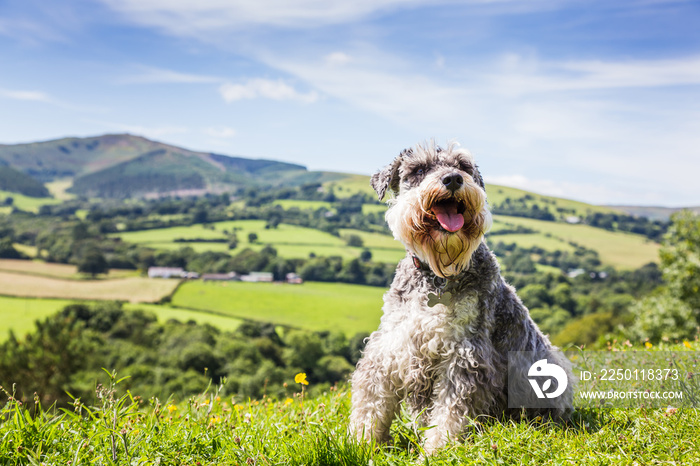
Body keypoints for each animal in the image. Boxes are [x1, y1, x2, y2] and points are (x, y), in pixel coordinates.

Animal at [350, 142, 576, 456]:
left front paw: (436, 451)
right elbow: (371, 401)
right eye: (419, 169)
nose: (453, 179)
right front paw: (361, 443)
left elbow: (451, 411)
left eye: (463, 166)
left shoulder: (465, 355)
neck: (438, 277)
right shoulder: (389, 347)